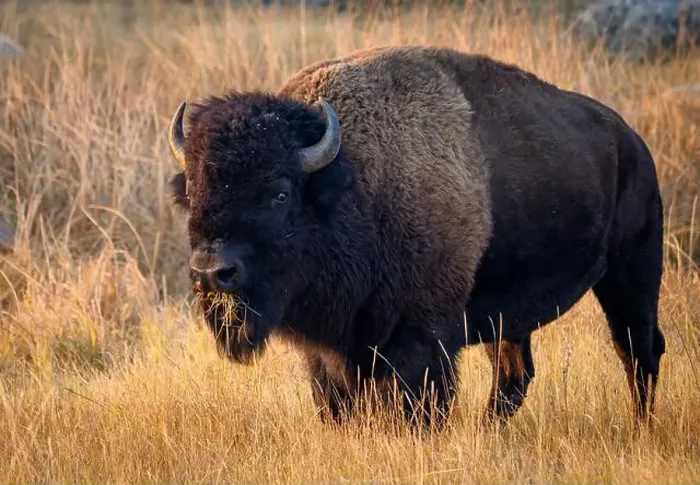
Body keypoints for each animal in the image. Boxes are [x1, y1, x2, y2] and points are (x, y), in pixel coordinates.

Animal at [166, 45, 666, 426]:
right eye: (192, 191)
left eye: (280, 193)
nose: (212, 273)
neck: (355, 181)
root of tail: (632, 142)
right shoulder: (330, 350)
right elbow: (337, 405)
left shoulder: (421, 340)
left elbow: (415, 408)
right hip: (511, 314)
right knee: (514, 375)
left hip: (632, 273)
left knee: (638, 349)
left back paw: (641, 428)